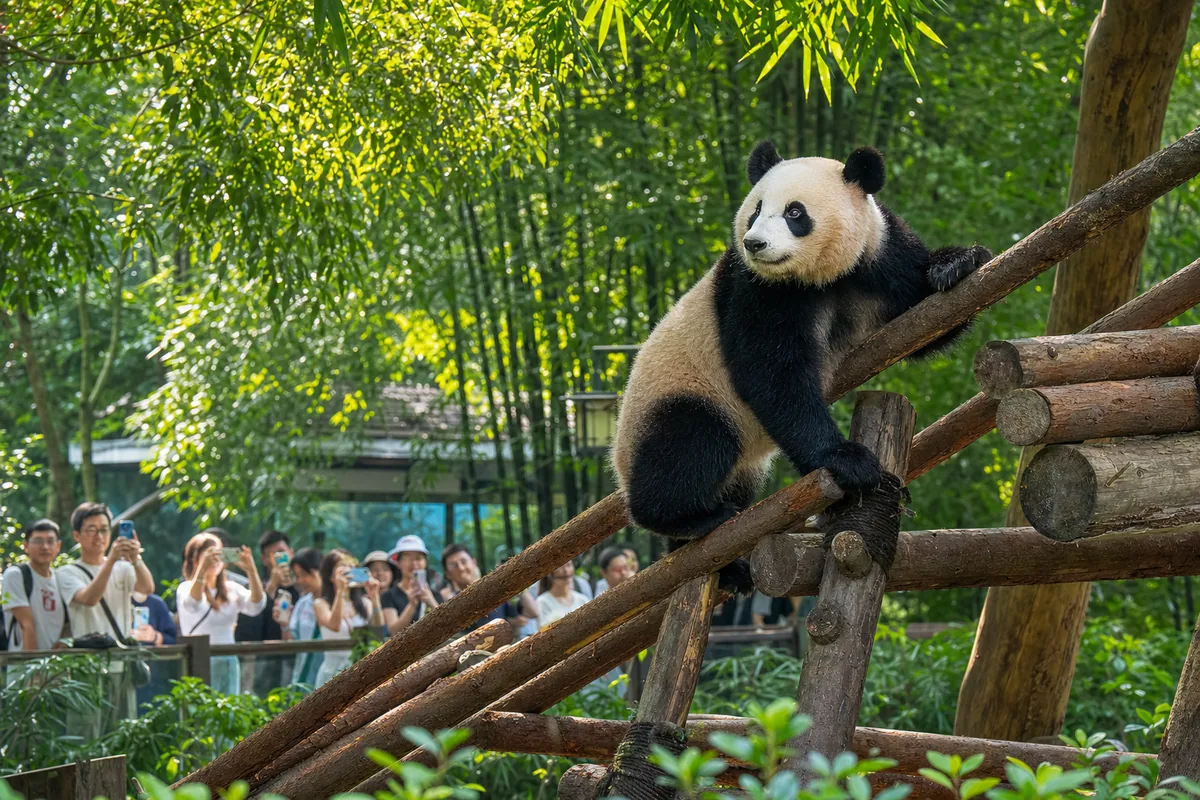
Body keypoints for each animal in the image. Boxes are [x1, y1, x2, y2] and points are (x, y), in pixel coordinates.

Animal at [610, 141, 992, 592]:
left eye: (795, 213)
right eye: (756, 209)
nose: (755, 243)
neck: (821, 277)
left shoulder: (880, 255)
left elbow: (925, 319)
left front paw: (957, 264)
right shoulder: (756, 289)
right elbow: (772, 376)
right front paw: (849, 461)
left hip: (738, 464)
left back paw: (724, 564)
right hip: (681, 391)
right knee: (691, 442)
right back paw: (688, 517)